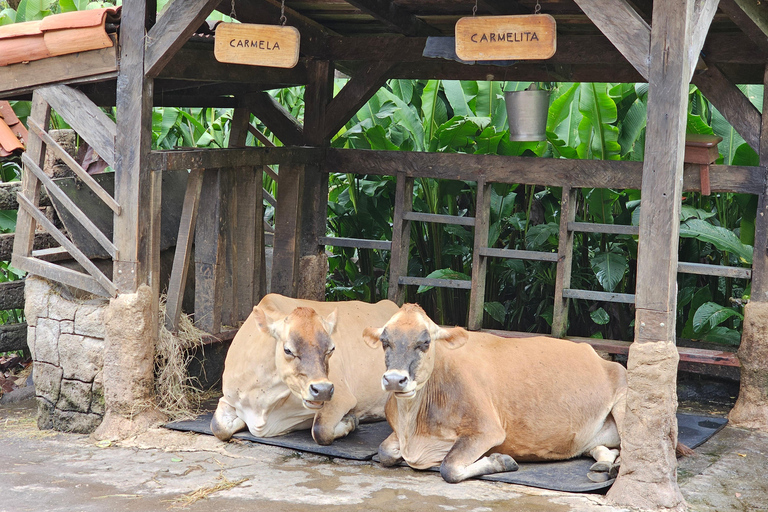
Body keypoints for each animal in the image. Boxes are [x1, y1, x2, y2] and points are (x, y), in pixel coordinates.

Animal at [212, 294, 400, 446]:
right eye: (288, 350)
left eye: (331, 349)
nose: (322, 390)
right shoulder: (228, 398)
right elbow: (218, 427)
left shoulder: (342, 397)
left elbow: (320, 430)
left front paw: (351, 421)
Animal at [364, 304, 628, 484]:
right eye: (385, 341)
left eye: (425, 342)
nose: (395, 380)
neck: (413, 429)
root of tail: (597, 355)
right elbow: (384, 453)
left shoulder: (487, 429)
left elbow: (449, 468)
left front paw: (500, 461)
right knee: (600, 448)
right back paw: (604, 465)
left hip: (623, 399)